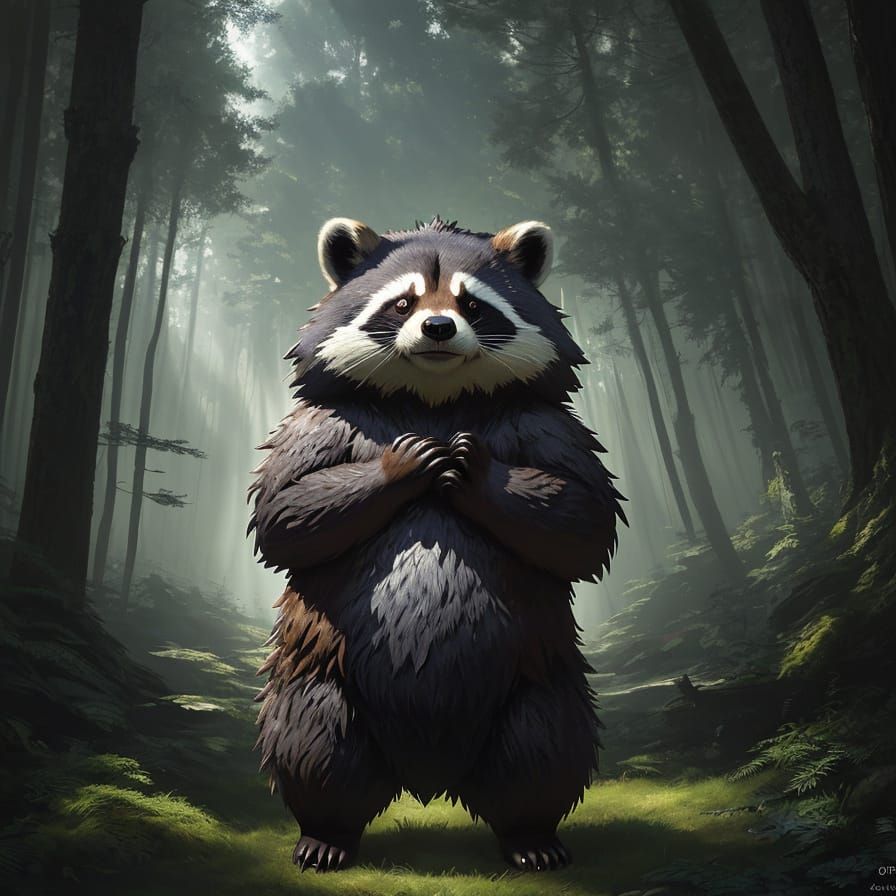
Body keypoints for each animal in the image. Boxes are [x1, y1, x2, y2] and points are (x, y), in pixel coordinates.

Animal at [250, 216, 624, 873]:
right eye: (403, 302)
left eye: (472, 303)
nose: (438, 327)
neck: (434, 398)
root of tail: (428, 777)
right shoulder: (325, 419)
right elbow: (285, 511)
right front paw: (401, 465)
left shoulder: (545, 422)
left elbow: (583, 519)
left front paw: (475, 472)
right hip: (322, 672)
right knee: (313, 739)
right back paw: (325, 831)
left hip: (535, 674)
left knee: (545, 743)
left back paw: (531, 834)